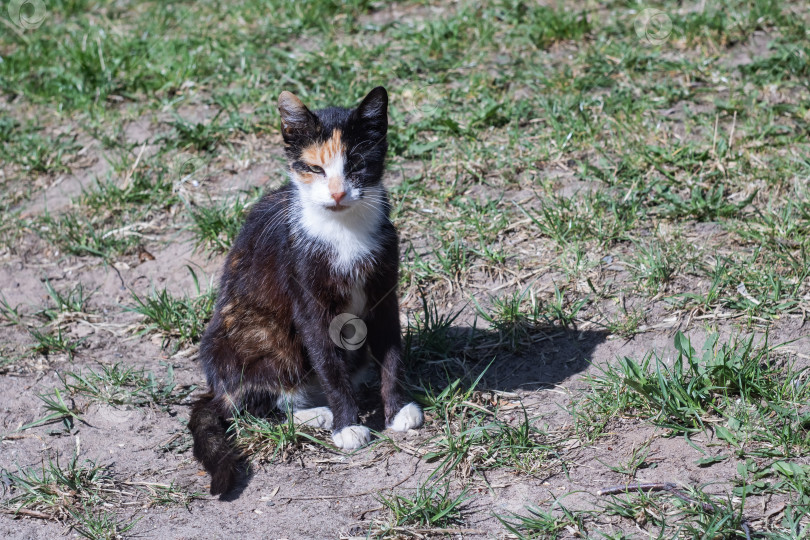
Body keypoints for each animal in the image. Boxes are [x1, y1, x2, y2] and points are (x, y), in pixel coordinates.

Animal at [189, 86, 422, 496]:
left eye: (356, 164)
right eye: (315, 169)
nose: (338, 193)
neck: (343, 230)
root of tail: (215, 389)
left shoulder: (385, 290)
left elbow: (392, 350)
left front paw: (397, 409)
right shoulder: (308, 300)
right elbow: (327, 363)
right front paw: (347, 426)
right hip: (255, 336)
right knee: (252, 407)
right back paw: (317, 415)